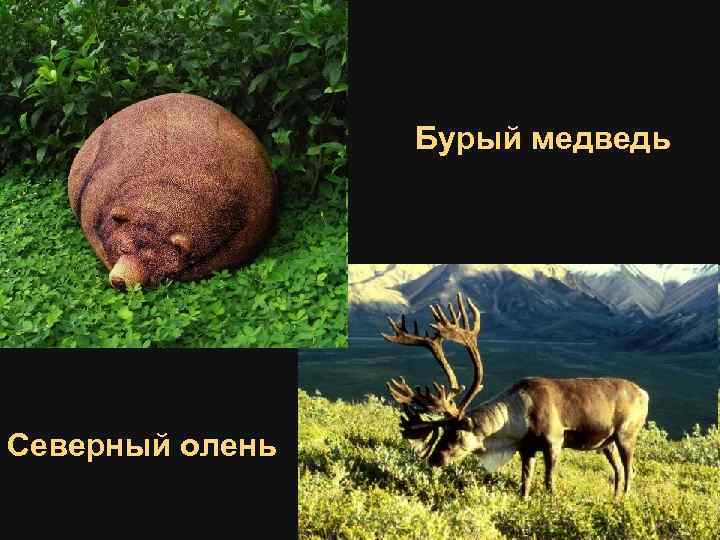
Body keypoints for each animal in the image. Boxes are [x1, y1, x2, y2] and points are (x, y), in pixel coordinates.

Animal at [383, 292, 649, 499]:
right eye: (442, 432)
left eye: (456, 434)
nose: (434, 459)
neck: (516, 418)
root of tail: (644, 393)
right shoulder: (526, 448)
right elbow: (525, 483)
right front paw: (525, 501)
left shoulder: (554, 440)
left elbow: (549, 482)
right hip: (606, 442)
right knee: (617, 470)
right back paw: (614, 499)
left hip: (626, 435)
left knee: (629, 469)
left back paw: (625, 500)